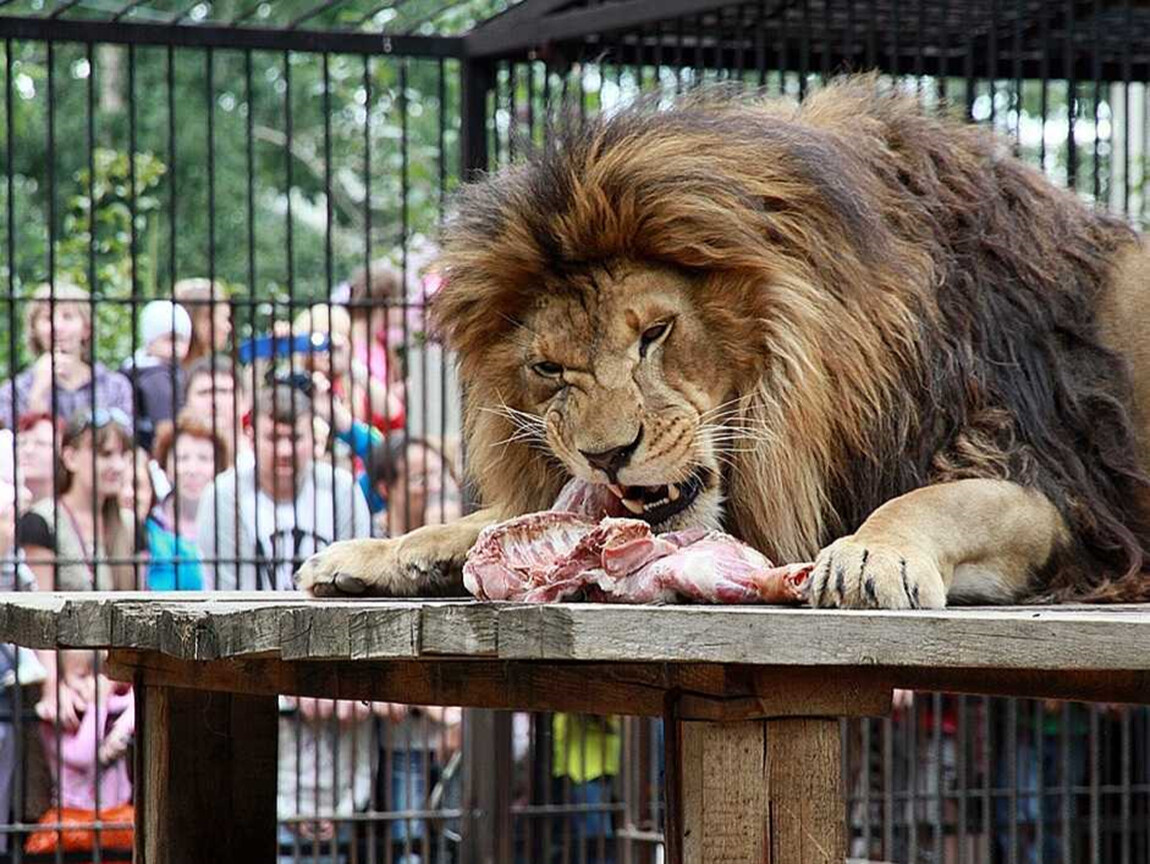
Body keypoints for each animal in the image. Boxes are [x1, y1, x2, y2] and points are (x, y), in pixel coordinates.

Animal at [296, 77, 1150, 612]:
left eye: (655, 334)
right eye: (548, 368)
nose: (607, 456)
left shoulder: (1057, 487)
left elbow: (940, 497)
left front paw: (870, 553)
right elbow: (505, 516)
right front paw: (384, 551)